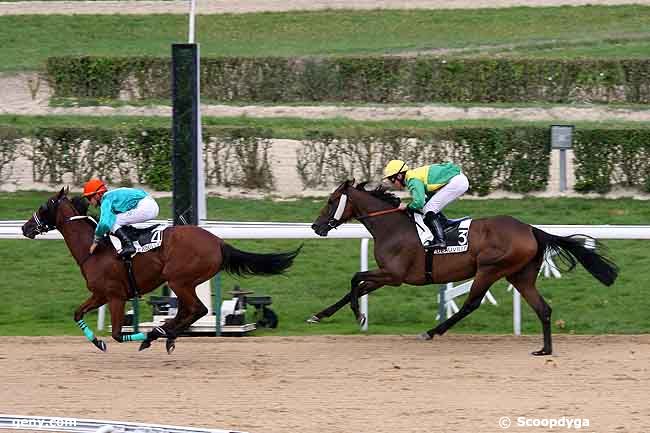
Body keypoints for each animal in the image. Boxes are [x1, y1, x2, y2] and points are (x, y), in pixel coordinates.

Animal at [22, 187, 302, 352]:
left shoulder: (115, 296)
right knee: (189, 312)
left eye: (45, 205)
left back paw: (158, 334)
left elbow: (117, 333)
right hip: (184, 282)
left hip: (179, 279)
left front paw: (142, 336)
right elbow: (78, 313)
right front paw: (98, 341)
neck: (95, 251)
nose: (26, 228)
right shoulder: (99, 294)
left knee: (197, 309)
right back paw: (166, 333)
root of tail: (218, 242)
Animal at [308, 179, 616, 354]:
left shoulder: (394, 275)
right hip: (520, 276)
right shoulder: (386, 276)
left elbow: (355, 279)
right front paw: (320, 315)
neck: (392, 226)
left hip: (490, 270)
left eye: (331, 201)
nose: (316, 227)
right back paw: (545, 349)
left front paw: (358, 314)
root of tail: (530, 229)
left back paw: (432, 332)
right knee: (544, 309)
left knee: (471, 304)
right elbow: (356, 287)